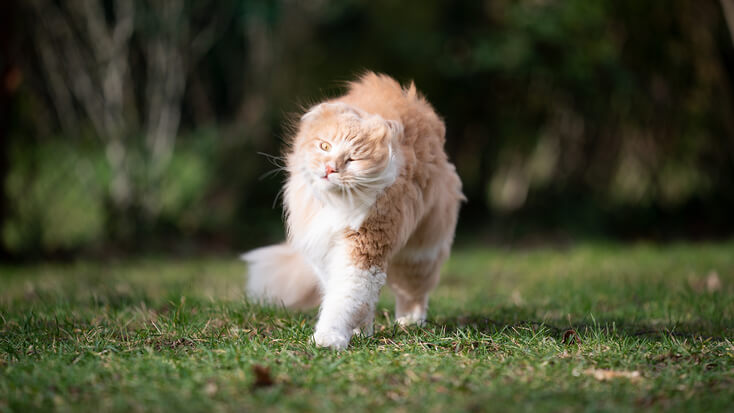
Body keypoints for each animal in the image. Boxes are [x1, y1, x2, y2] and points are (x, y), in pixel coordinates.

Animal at [244, 72, 462, 350]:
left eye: (352, 159)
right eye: (325, 146)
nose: (329, 168)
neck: (335, 204)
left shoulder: (362, 250)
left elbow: (343, 301)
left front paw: (329, 339)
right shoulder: (325, 254)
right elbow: (356, 302)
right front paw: (360, 332)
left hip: (418, 255)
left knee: (414, 294)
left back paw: (410, 323)